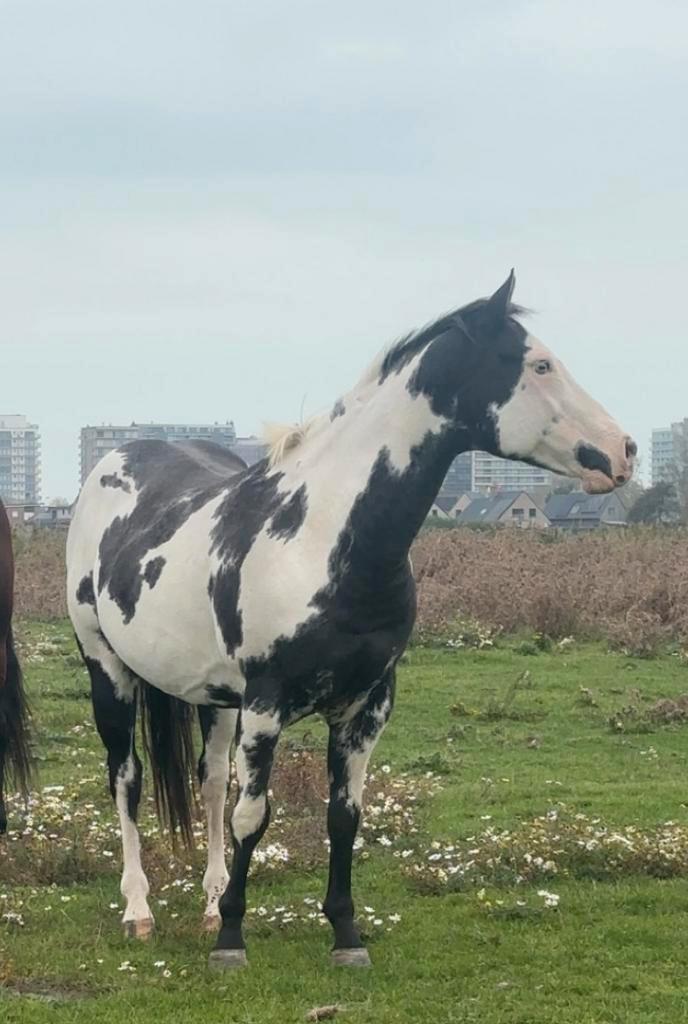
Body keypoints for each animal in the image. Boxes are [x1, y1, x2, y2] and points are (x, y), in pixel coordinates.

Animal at [66, 272, 635, 969]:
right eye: (540, 364)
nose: (624, 451)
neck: (322, 538)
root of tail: (113, 463)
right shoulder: (266, 705)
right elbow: (254, 817)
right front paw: (232, 940)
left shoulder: (366, 706)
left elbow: (343, 817)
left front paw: (344, 934)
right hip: (108, 669)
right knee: (127, 780)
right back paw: (140, 910)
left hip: (214, 698)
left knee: (209, 783)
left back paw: (207, 903)